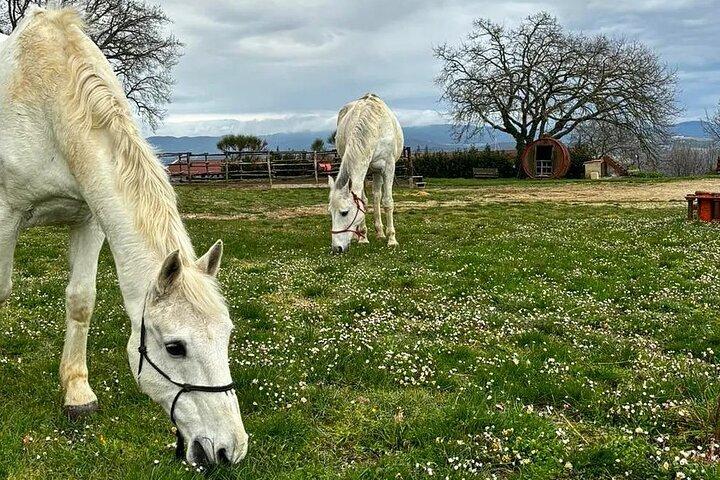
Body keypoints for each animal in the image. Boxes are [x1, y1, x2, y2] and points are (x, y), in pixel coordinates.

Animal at [0, 8, 247, 465]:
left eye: (226, 335)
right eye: (175, 347)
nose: (229, 449)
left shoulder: (90, 218)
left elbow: (81, 301)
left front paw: (77, 392)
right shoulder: (5, 216)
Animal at [328, 93, 404, 253]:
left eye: (344, 212)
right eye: (330, 212)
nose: (336, 248)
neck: (375, 126)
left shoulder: (388, 168)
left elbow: (387, 202)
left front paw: (392, 240)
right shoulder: (363, 169)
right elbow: (363, 201)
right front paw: (363, 237)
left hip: (378, 172)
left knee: (377, 197)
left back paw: (381, 233)